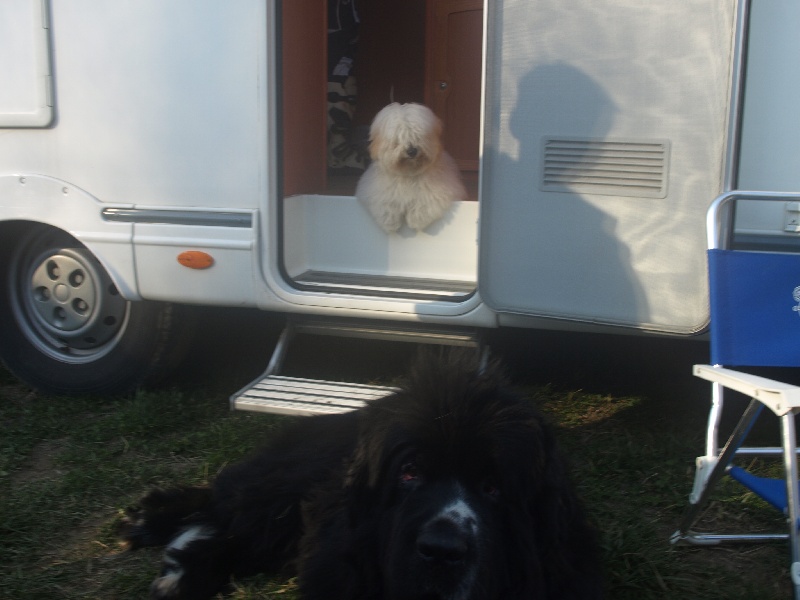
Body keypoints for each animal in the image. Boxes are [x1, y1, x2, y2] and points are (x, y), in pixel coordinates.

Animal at [117, 354, 600, 596]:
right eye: (409, 473)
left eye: (492, 487)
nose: (441, 551)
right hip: (282, 492)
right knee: (223, 499)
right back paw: (150, 524)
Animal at [354, 102, 466, 233]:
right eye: (398, 139)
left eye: (418, 136)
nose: (412, 151)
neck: (408, 175)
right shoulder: (374, 189)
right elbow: (384, 202)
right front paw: (390, 222)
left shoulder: (440, 191)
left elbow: (427, 200)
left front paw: (416, 220)